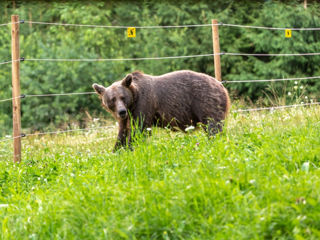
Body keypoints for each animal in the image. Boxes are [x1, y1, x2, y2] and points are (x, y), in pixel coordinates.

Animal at [92, 70, 230, 151]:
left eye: (122, 97)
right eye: (112, 100)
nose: (121, 111)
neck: (133, 100)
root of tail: (221, 85)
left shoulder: (144, 104)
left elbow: (139, 130)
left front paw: (130, 148)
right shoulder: (126, 117)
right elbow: (122, 132)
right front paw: (117, 150)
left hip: (205, 100)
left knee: (213, 125)